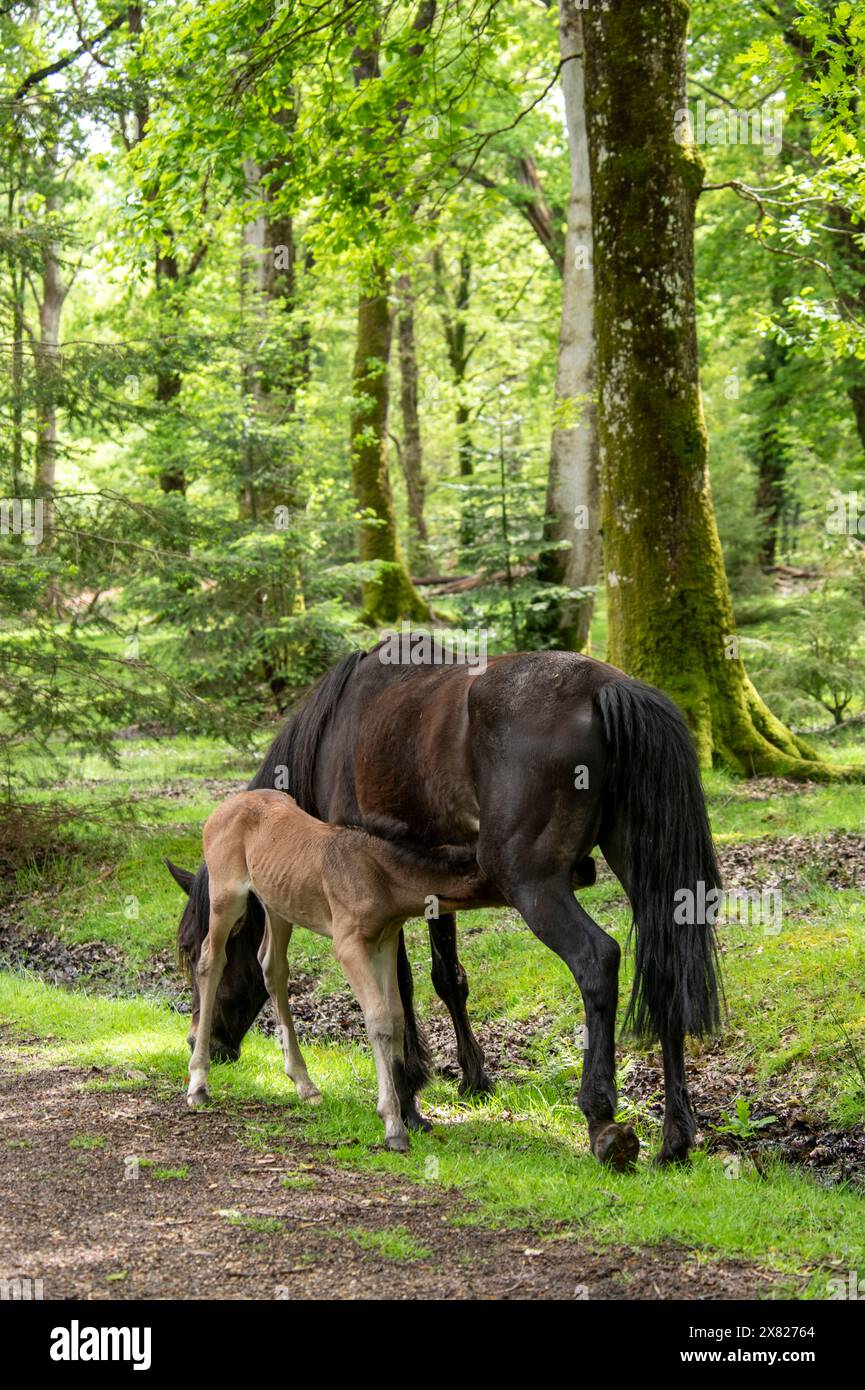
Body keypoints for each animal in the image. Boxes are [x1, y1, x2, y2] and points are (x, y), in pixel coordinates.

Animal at [189, 795, 489, 1150]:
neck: (380, 872)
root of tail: (222, 809)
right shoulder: (348, 945)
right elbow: (379, 1018)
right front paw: (394, 1124)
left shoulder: (384, 941)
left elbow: (396, 1015)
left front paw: (408, 1112)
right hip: (226, 896)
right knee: (211, 961)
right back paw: (198, 1083)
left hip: (278, 904)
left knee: (272, 966)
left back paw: (305, 1085)